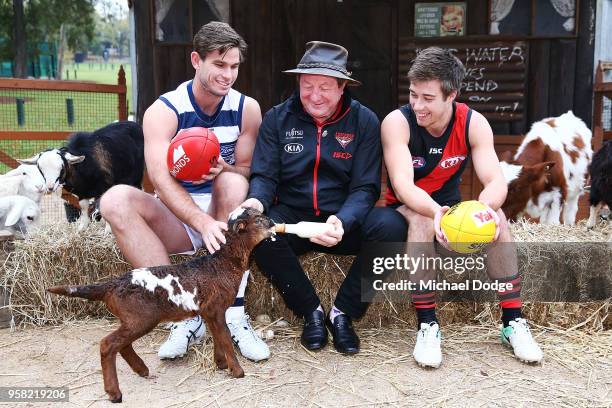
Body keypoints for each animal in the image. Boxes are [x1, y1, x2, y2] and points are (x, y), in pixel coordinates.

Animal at [47, 209, 274, 404]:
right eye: (259, 220)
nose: (273, 223)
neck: (224, 262)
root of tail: (112, 285)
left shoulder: (210, 311)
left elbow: (219, 336)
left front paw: (221, 364)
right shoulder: (215, 307)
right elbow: (225, 337)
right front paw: (237, 371)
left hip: (132, 319)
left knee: (122, 344)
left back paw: (141, 370)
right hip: (140, 318)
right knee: (108, 344)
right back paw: (114, 393)